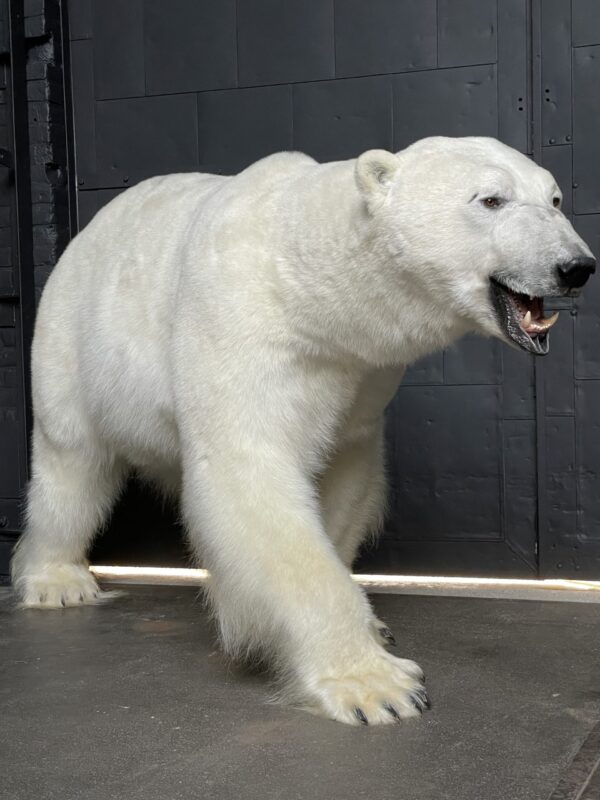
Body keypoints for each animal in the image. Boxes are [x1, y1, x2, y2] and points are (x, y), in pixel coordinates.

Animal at [10, 136, 596, 724]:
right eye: (491, 199)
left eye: (555, 199)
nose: (576, 266)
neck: (308, 284)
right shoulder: (241, 326)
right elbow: (249, 474)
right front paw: (377, 686)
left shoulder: (360, 375)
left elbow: (343, 476)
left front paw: (370, 628)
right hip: (72, 340)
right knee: (71, 463)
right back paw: (58, 581)